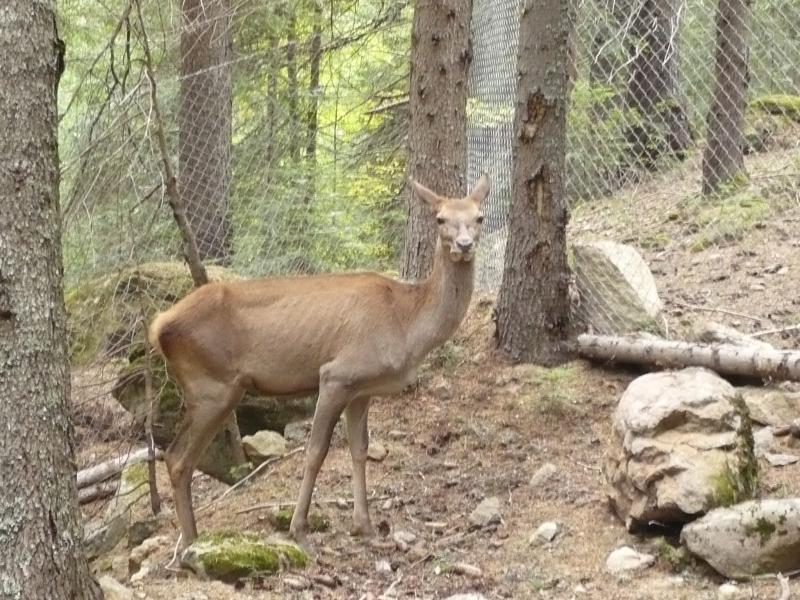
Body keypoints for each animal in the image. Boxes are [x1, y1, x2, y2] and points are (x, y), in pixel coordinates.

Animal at [147, 173, 490, 548]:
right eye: (440, 218)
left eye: (479, 217)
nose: (464, 245)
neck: (406, 323)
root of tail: (158, 326)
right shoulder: (337, 374)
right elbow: (315, 452)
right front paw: (299, 526)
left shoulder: (361, 390)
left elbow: (360, 449)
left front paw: (365, 525)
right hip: (212, 385)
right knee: (177, 457)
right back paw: (190, 542)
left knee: (178, 456)